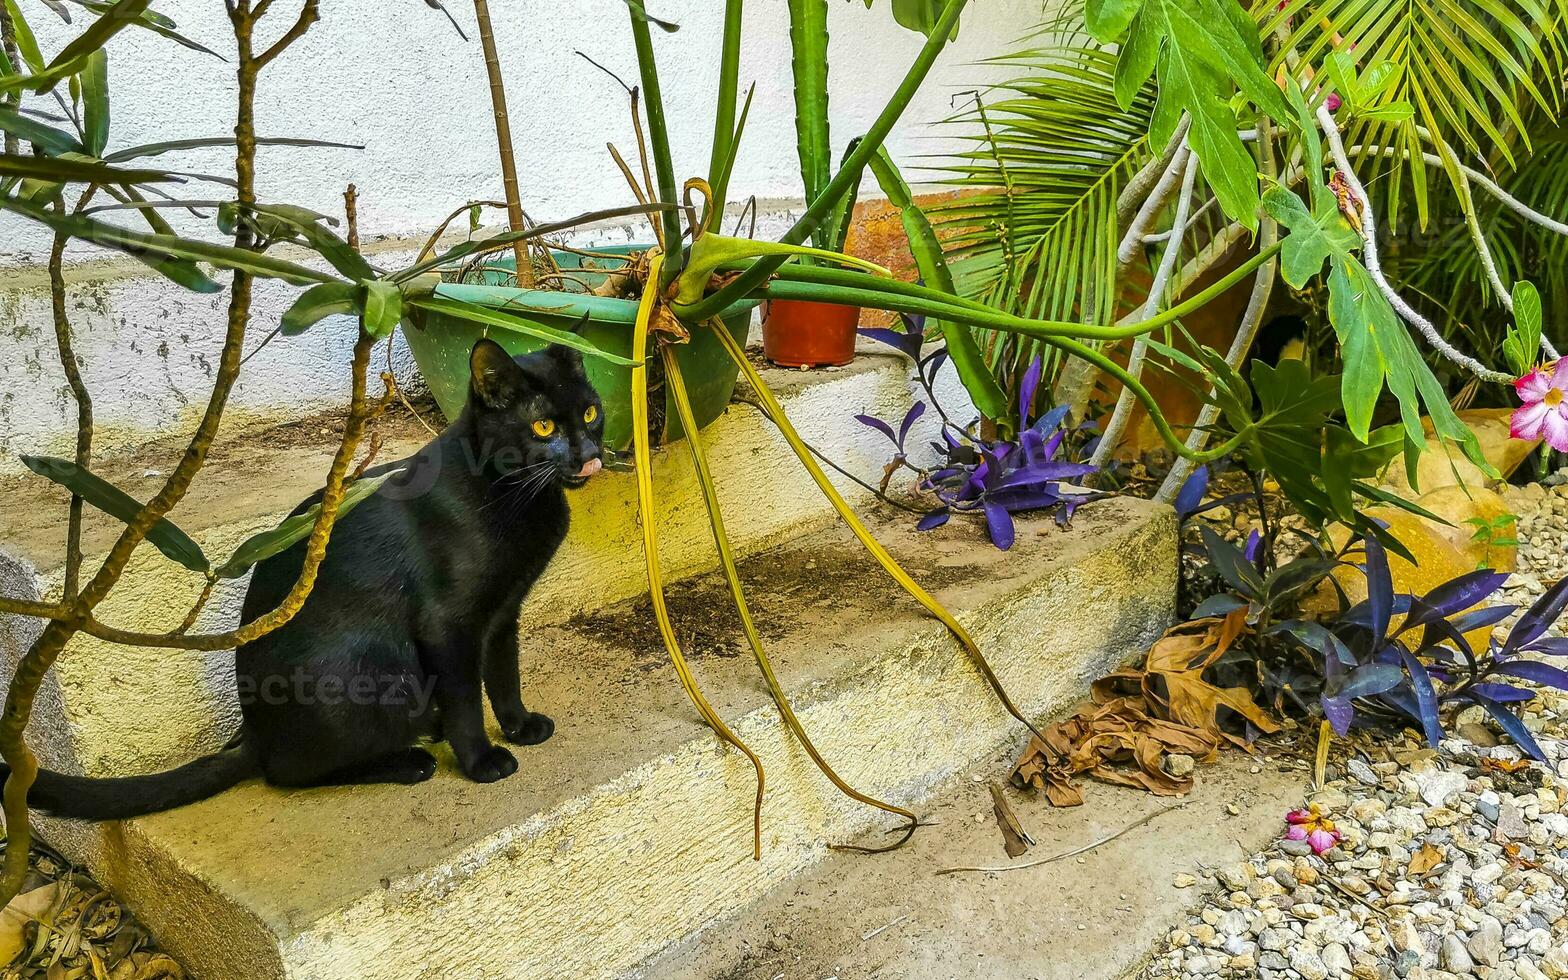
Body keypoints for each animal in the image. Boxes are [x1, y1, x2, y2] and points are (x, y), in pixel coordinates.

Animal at [18, 340, 605, 815]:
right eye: (544, 426)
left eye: (591, 412)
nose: (590, 453)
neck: (515, 495)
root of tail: (253, 734)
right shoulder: (449, 625)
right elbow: (465, 698)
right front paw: (481, 760)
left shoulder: (503, 611)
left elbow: (504, 674)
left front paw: (520, 726)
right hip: (370, 671)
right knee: (289, 773)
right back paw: (406, 761)